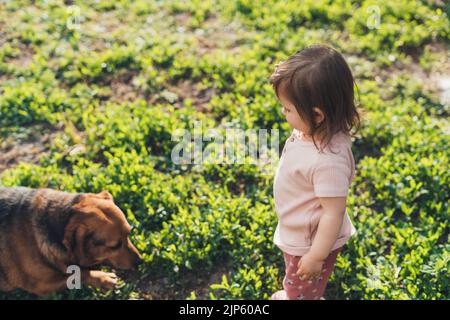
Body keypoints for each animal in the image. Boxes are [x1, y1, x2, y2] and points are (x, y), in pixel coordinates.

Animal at [0, 186, 142, 296]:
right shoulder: (41, 285)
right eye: (114, 246)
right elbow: (78, 273)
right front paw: (103, 278)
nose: (139, 262)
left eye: (129, 233)